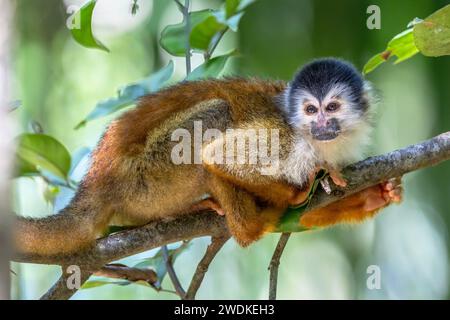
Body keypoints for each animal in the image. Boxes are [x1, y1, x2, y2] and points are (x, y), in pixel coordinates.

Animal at [14, 58, 402, 256]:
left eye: (331, 108)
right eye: (310, 110)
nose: (321, 125)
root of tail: (96, 183)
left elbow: (304, 216)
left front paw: (375, 196)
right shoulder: (281, 136)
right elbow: (218, 155)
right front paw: (293, 194)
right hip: (148, 179)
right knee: (215, 117)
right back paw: (248, 224)